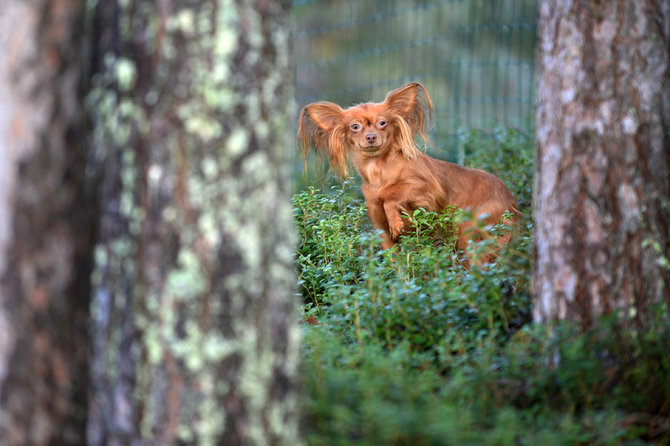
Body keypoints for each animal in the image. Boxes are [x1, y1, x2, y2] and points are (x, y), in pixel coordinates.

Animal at [300, 82, 520, 264]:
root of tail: (510, 200)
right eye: (355, 126)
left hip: (467, 230)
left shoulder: (426, 193)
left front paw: (396, 220)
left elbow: (391, 194)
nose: (371, 137)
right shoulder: (382, 231)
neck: (379, 170)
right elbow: (395, 263)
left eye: (382, 123)